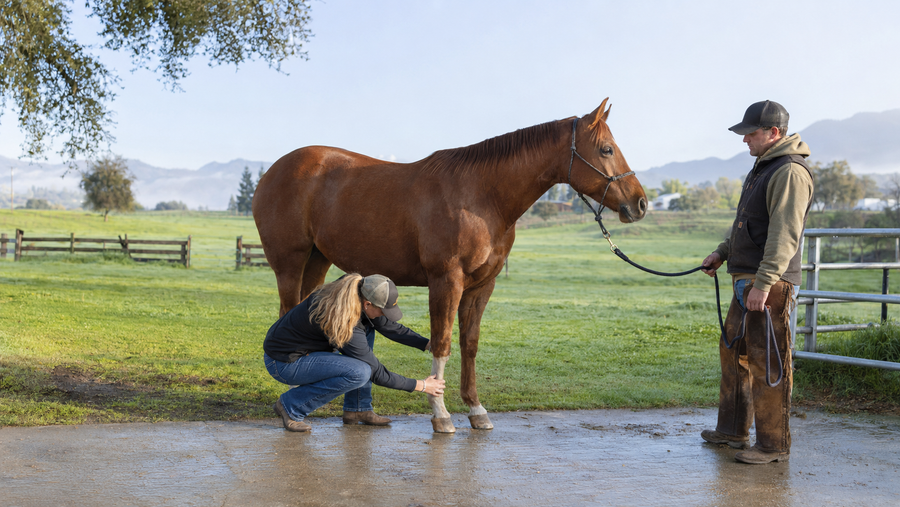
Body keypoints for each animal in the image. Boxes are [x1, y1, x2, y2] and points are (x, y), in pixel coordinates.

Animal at [252, 99, 647, 433]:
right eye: (607, 149)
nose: (640, 203)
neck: (482, 196)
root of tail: (273, 171)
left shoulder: (481, 286)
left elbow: (469, 343)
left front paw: (476, 409)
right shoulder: (446, 281)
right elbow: (442, 343)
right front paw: (440, 414)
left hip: (318, 260)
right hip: (290, 263)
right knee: (287, 312)